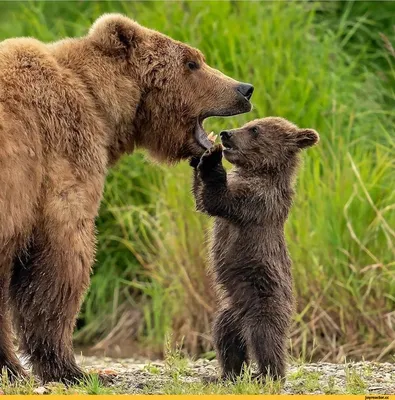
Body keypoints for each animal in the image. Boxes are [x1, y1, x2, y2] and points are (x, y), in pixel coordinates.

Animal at [0, 14, 254, 382]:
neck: (99, 102)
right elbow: (60, 258)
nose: (244, 89)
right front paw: (70, 368)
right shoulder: (57, 155)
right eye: (192, 62)